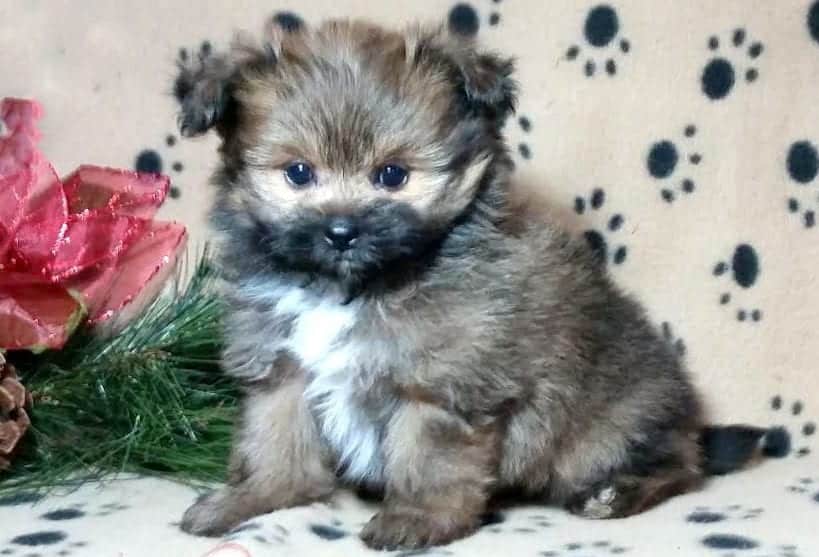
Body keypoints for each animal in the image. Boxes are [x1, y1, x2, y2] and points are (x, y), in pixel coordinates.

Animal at [173, 16, 768, 548]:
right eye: (299, 173)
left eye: (392, 175)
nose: (341, 232)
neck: (353, 290)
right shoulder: (282, 368)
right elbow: (274, 442)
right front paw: (253, 498)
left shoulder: (443, 383)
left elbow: (429, 457)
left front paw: (418, 518)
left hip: (603, 429)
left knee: (680, 462)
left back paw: (616, 492)